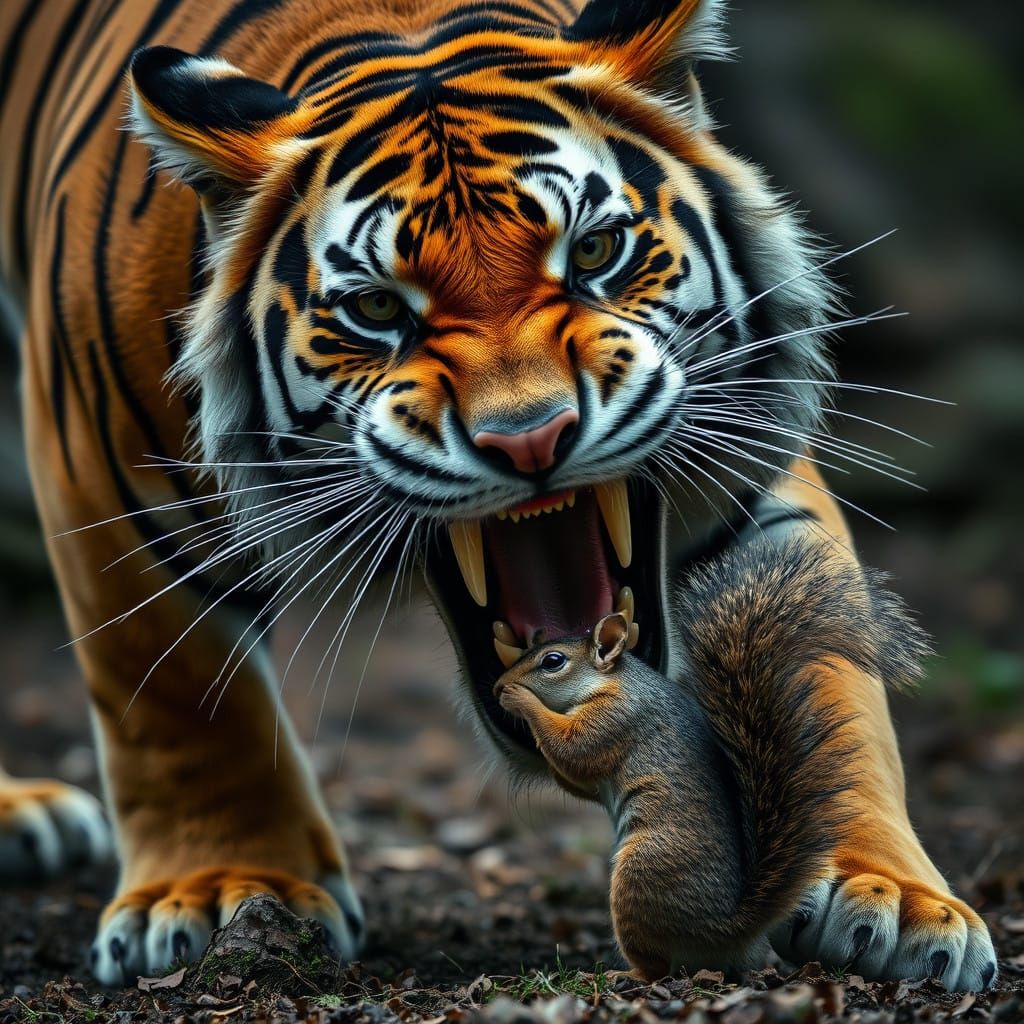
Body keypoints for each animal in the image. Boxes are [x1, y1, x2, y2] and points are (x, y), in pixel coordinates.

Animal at [494, 539, 928, 981]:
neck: (611, 681)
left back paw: (625, 974)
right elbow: (577, 776)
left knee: (657, 967)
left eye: (553, 661)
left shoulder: (616, 717)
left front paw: (521, 698)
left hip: (641, 872)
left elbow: (575, 749)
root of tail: (725, 929)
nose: (497, 686)